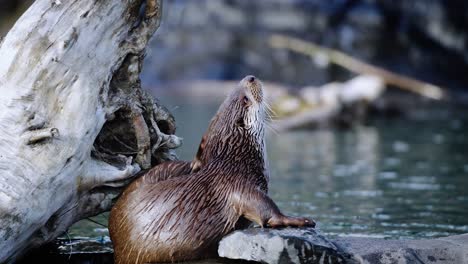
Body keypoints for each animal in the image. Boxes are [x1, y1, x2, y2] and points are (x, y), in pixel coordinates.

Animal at [108, 75, 316, 262]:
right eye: (245, 99)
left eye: (232, 91)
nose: (250, 77)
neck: (238, 161)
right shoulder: (239, 185)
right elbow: (268, 213)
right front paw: (299, 220)